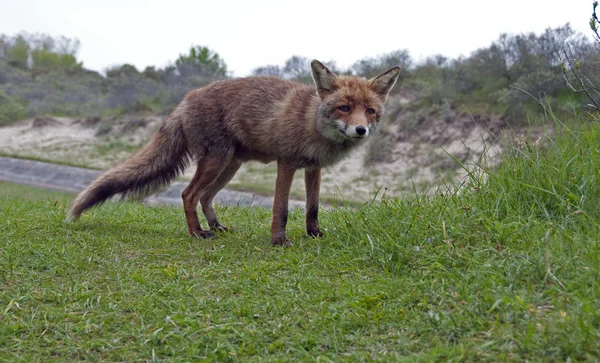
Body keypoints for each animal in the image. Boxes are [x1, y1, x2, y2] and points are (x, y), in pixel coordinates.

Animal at [68, 60, 400, 247]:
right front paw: (279, 241)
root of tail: (185, 99)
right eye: (344, 107)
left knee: (204, 197)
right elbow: (281, 209)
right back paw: (197, 234)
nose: (361, 130)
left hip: (229, 166)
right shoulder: (286, 163)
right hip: (216, 161)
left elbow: (313, 208)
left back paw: (215, 227)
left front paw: (314, 235)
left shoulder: (313, 168)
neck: (311, 122)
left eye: (369, 111)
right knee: (188, 195)